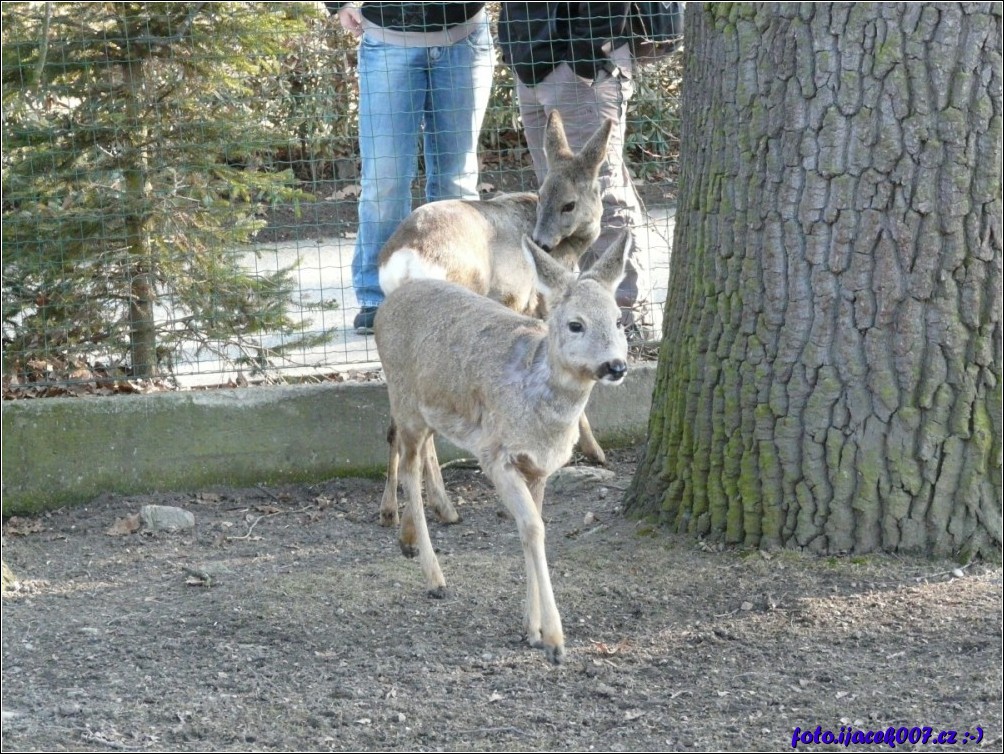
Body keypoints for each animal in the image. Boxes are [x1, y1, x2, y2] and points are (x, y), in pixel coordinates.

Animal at [373, 232, 630, 662]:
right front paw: (555, 640)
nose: (617, 366)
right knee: (407, 459)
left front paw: (531, 628)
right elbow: (533, 528)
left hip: (427, 410)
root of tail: (389, 301)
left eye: (618, 320)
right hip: (405, 397)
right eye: (575, 324)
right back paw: (434, 575)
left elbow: (533, 529)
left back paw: (410, 536)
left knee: (417, 451)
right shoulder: (496, 455)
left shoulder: (539, 467)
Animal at [377, 109, 610, 465]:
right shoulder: (542, 304)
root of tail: (405, 258)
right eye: (545, 196)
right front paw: (592, 448)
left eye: (567, 204)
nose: (541, 242)